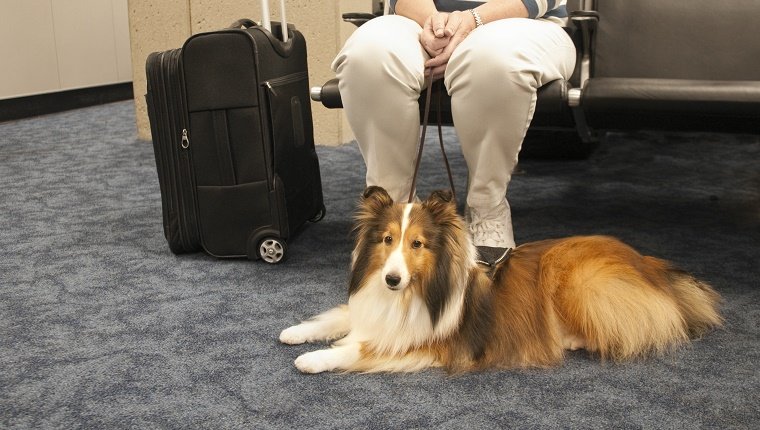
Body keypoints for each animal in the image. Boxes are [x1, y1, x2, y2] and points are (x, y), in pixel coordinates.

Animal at [282, 187, 720, 372]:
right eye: (388, 240)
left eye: (418, 244)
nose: (392, 279)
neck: (412, 293)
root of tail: (648, 263)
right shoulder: (370, 309)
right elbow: (337, 317)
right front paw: (295, 332)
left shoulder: (427, 342)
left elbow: (358, 349)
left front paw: (313, 359)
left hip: (577, 279)